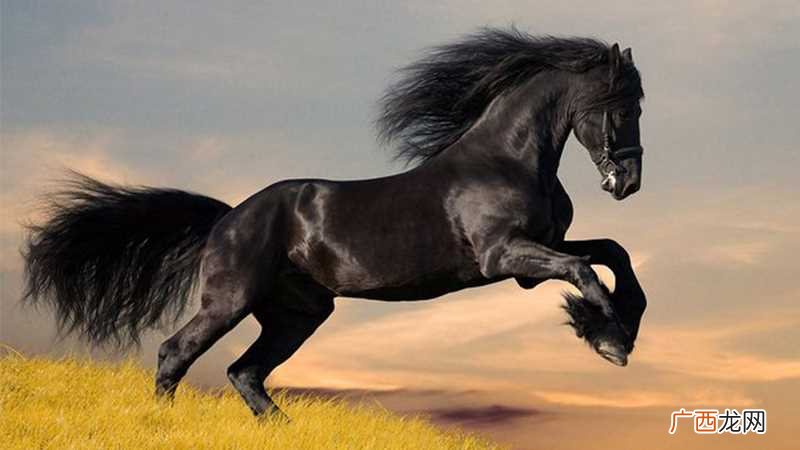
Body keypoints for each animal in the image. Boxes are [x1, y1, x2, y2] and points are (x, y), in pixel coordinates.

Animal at [22, 28, 647, 419]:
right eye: (622, 106)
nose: (629, 182)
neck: (507, 159)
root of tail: (228, 218)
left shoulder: (535, 255)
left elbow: (612, 253)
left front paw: (617, 326)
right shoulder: (505, 257)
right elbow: (584, 271)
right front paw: (608, 339)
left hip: (298, 313)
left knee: (244, 372)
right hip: (231, 300)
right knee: (176, 353)